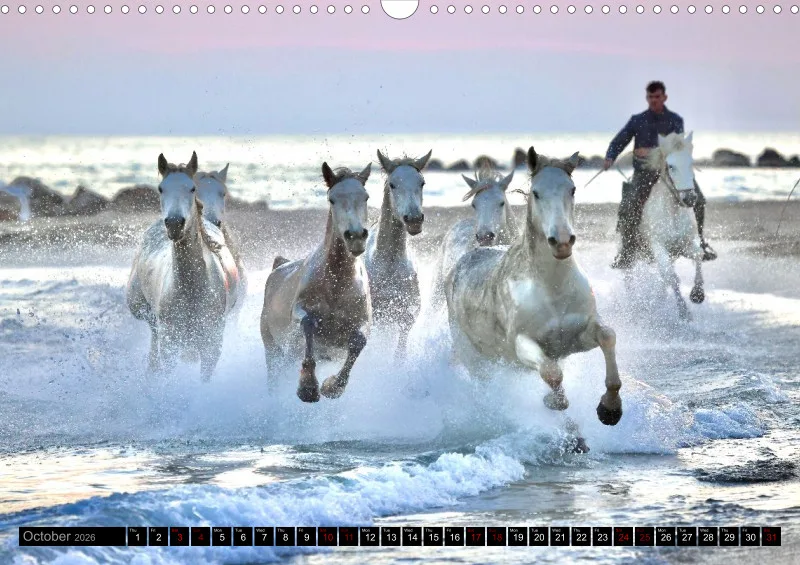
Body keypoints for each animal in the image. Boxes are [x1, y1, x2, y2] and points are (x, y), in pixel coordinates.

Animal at [126, 152, 241, 381]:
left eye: (191, 188)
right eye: (161, 188)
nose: (174, 223)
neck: (191, 289)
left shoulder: (212, 345)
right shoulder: (170, 343)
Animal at [260, 162, 373, 403]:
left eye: (365, 197)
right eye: (332, 199)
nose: (356, 237)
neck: (336, 283)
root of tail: (279, 267)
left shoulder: (362, 323)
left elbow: (358, 341)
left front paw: (333, 386)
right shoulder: (300, 311)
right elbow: (309, 323)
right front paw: (308, 387)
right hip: (274, 351)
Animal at [364, 149, 432, 357]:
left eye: (422, 183)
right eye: (393, 184)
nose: (414, 220)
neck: (389, 265)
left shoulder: (406, 318)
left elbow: (399, 354)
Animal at [445, 147, 623, 453]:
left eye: (572, 189)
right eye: (536, 193)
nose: (561, 242)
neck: (552, 288)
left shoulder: (579, 334)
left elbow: (608, 337)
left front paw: (610, 410)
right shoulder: (523, 344)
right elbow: (553, 375)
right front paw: (553, 401)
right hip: (478, 362)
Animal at [631, 131, 706, 320]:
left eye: (691, 162)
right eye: (671, 166)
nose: (690, 198)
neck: (673, 212)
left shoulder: (684, 245)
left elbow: (699, 255)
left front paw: (697, 294)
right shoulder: (658, 246)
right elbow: (672, 277)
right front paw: (684, 312)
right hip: (631, 252)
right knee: (628, 276)